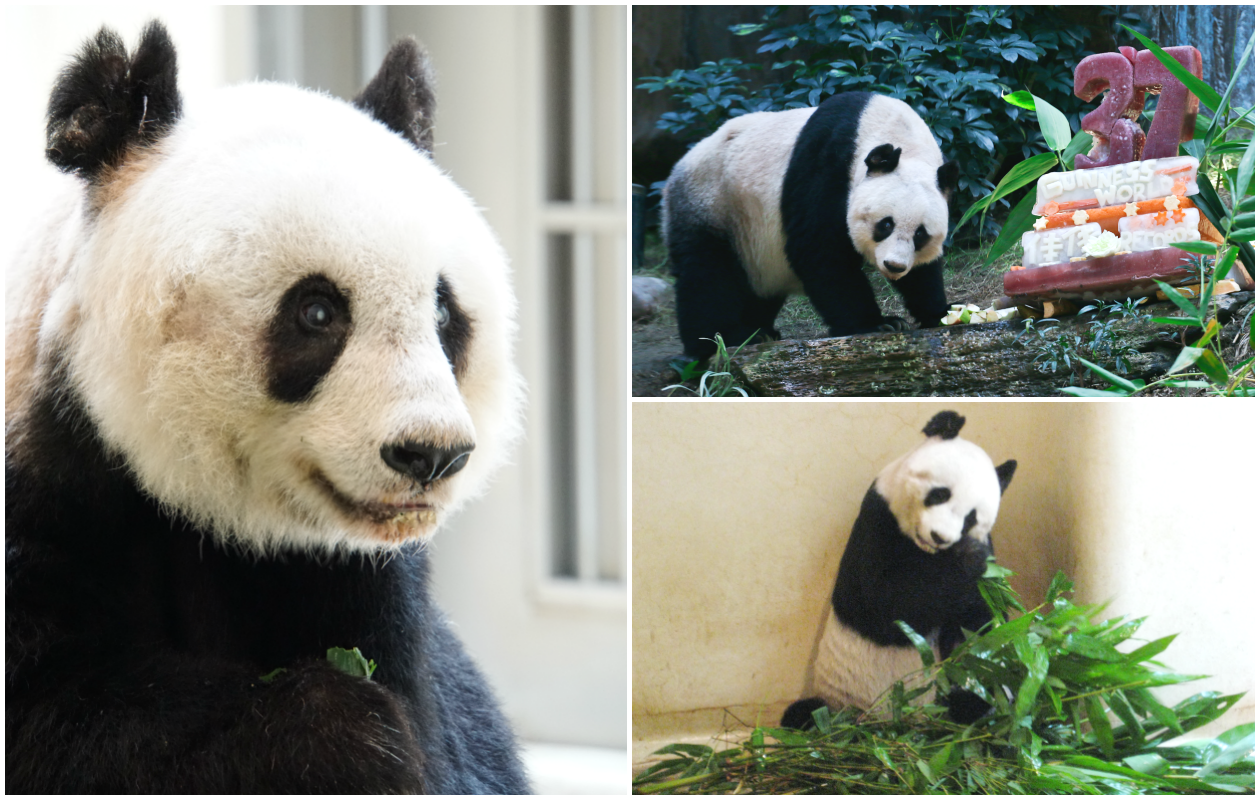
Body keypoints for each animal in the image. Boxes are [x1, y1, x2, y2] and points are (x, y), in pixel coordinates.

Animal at [4, 20, 526, 796]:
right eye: (317, 311)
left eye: (442, 310)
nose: (429, 454)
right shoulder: (46, 490)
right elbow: (67, 720)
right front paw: (345, 737)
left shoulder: (361, 586)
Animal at [660, 90, 952, 360]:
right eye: (886, 225)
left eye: (920, 234)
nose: (894, 266)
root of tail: (679, 166)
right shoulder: (827, 164)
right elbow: (819, 250)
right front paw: (877, 324)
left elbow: (923, 273)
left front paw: (939, 313)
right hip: (713, 202)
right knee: (706, 274)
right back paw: (720, 340)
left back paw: (761, 330)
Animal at [781, 410, 1018, 730]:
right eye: (940, 494)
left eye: (971, 518)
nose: (940, 537)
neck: (926, 552)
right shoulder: (876, 523)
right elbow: (888, 607)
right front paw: (967, 558)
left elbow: (981, 619)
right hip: (840, 703)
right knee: (806, 714)